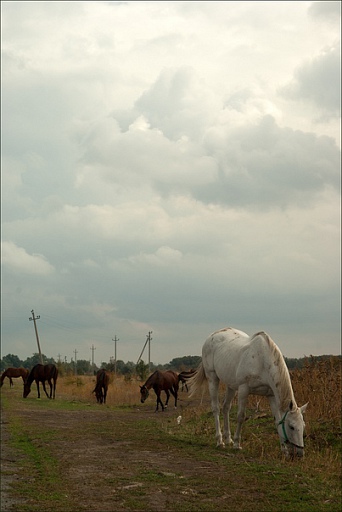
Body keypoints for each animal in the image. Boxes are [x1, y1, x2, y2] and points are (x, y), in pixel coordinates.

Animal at [188, 328, 308, 460]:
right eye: (291, 426)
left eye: (303, 426)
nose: (299, 454)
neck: (262, 361)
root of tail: (212, 336)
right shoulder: (243, 390)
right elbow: (241, 416)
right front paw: (237, 444)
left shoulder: (271, 395)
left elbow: (277, 421)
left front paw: (284, 451)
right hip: (212, 378)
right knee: (216, 409)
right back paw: (220, 441)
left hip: (231, 385)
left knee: (226, 408)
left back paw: (228, 439)